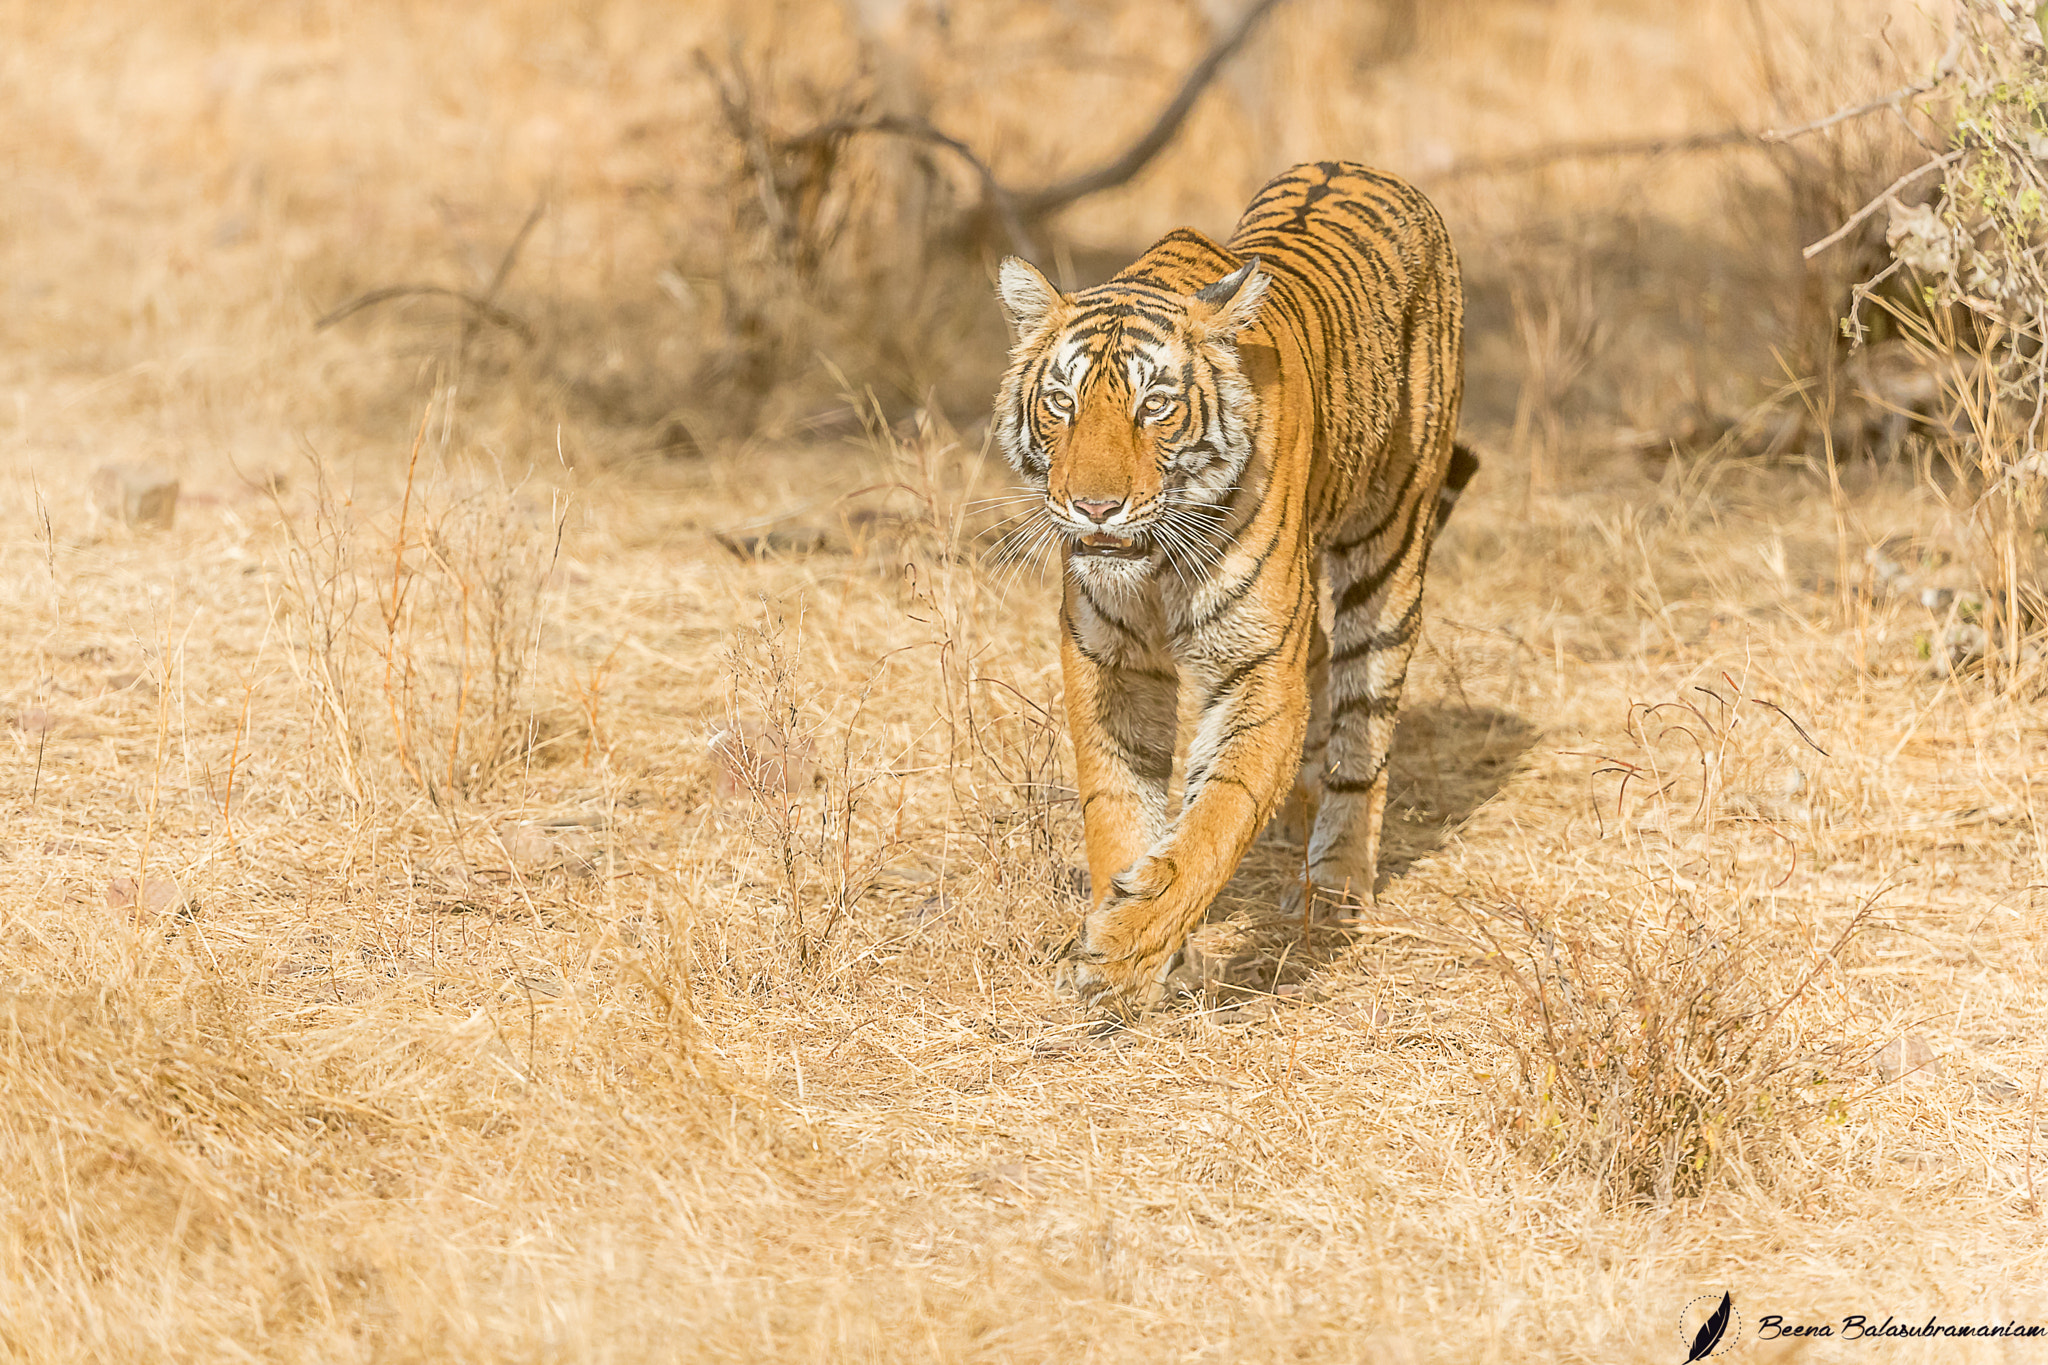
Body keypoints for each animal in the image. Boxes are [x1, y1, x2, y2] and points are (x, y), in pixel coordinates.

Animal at [995, 160, 1466, 1019]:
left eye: (1156, 405)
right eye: (1062, 403)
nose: (1095, 507)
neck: (1154, 567)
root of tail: (1368, 168)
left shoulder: (1258, 673)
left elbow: (1217, 816)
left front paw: (1125, 950)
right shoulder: (1109, 661)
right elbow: (1119, 805)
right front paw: (1145, 942)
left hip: (1389, 550)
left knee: (1362, 728)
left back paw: (1334, 886)